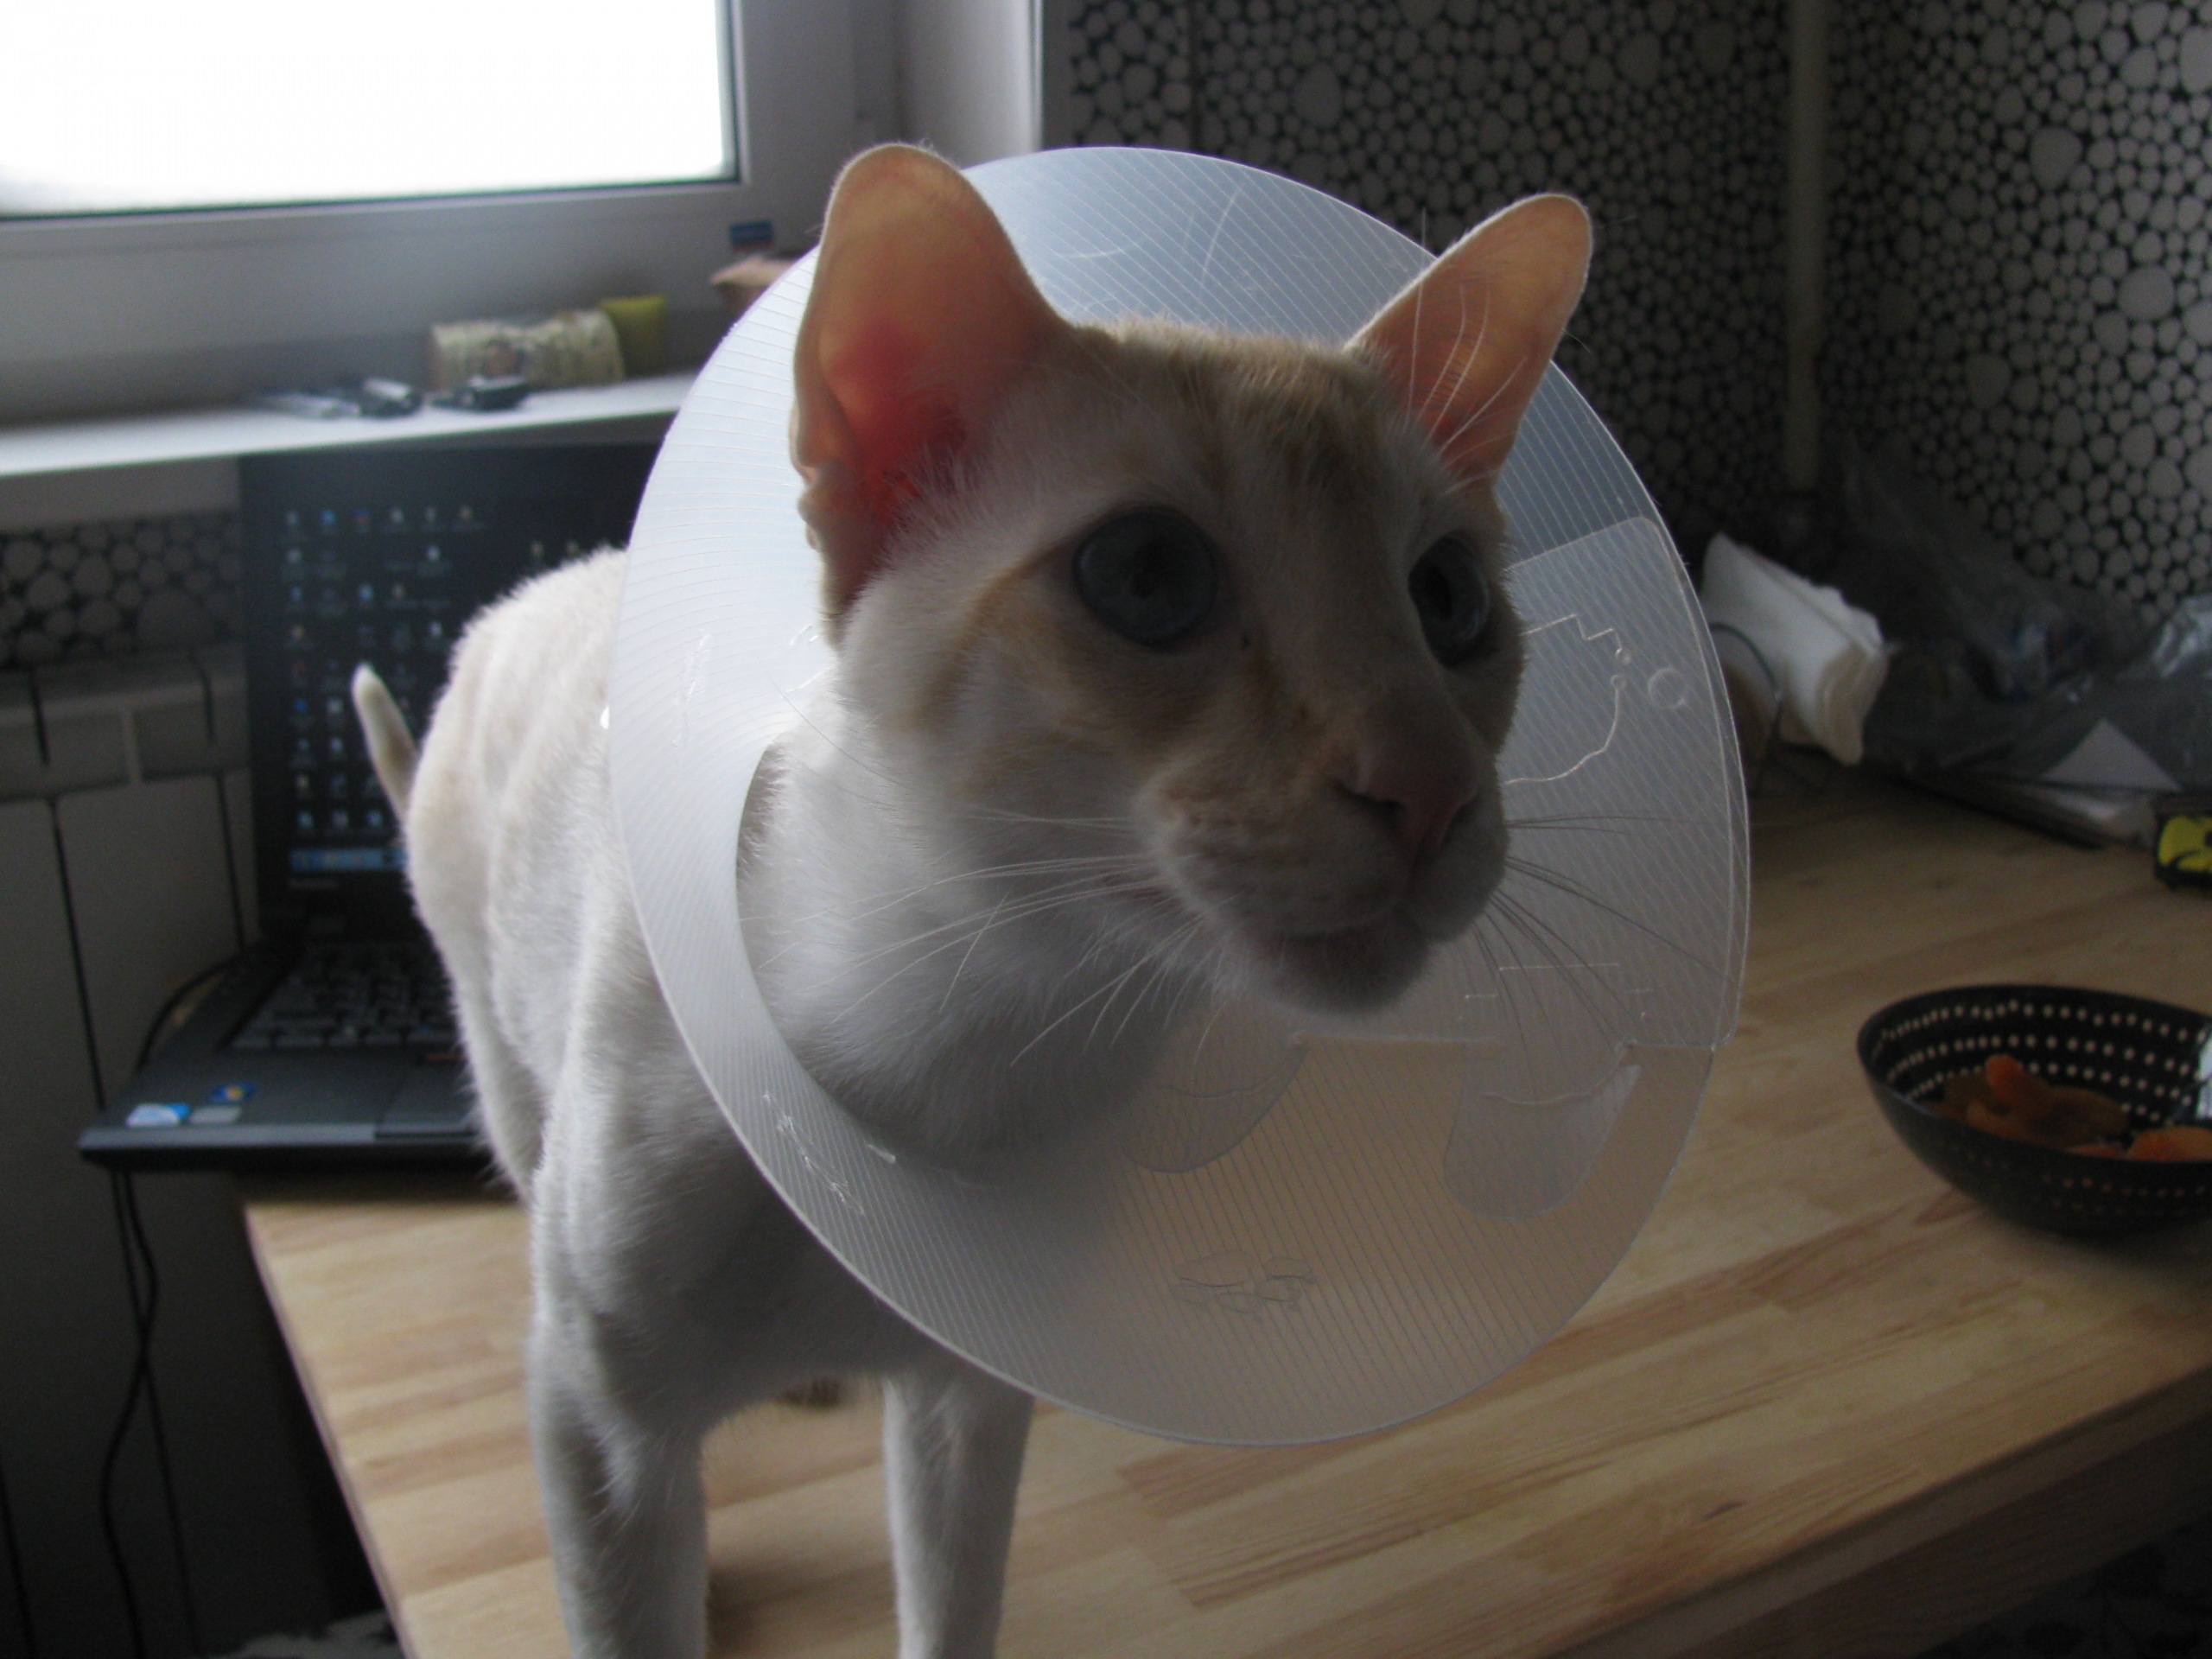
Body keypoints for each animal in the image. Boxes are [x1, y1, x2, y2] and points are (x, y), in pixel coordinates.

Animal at [353, 145, 1588, 1659]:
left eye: (1452, 598)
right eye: (1148, 577)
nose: (1431, 787)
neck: (959, 1040)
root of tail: (532, 588)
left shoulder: (965, 1401)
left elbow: (951, 1608)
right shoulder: (603, 1433)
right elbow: (632, 1606)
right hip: (506, 1083)